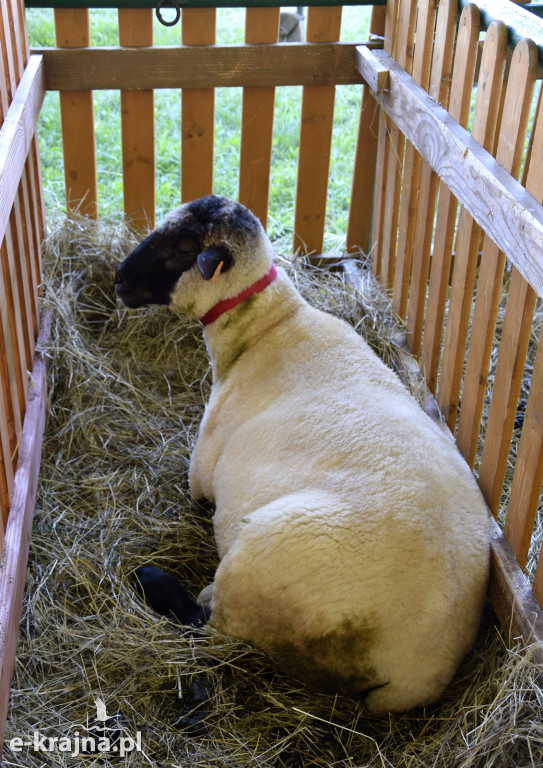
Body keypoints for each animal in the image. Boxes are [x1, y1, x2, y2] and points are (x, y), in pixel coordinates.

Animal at [117, 195, 490, 712]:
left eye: (180, 250)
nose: (118, 280)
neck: (268, 326)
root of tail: (417, 671)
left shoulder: (202, 472)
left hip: (261, 562)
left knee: (210, 629)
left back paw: (155, 579)